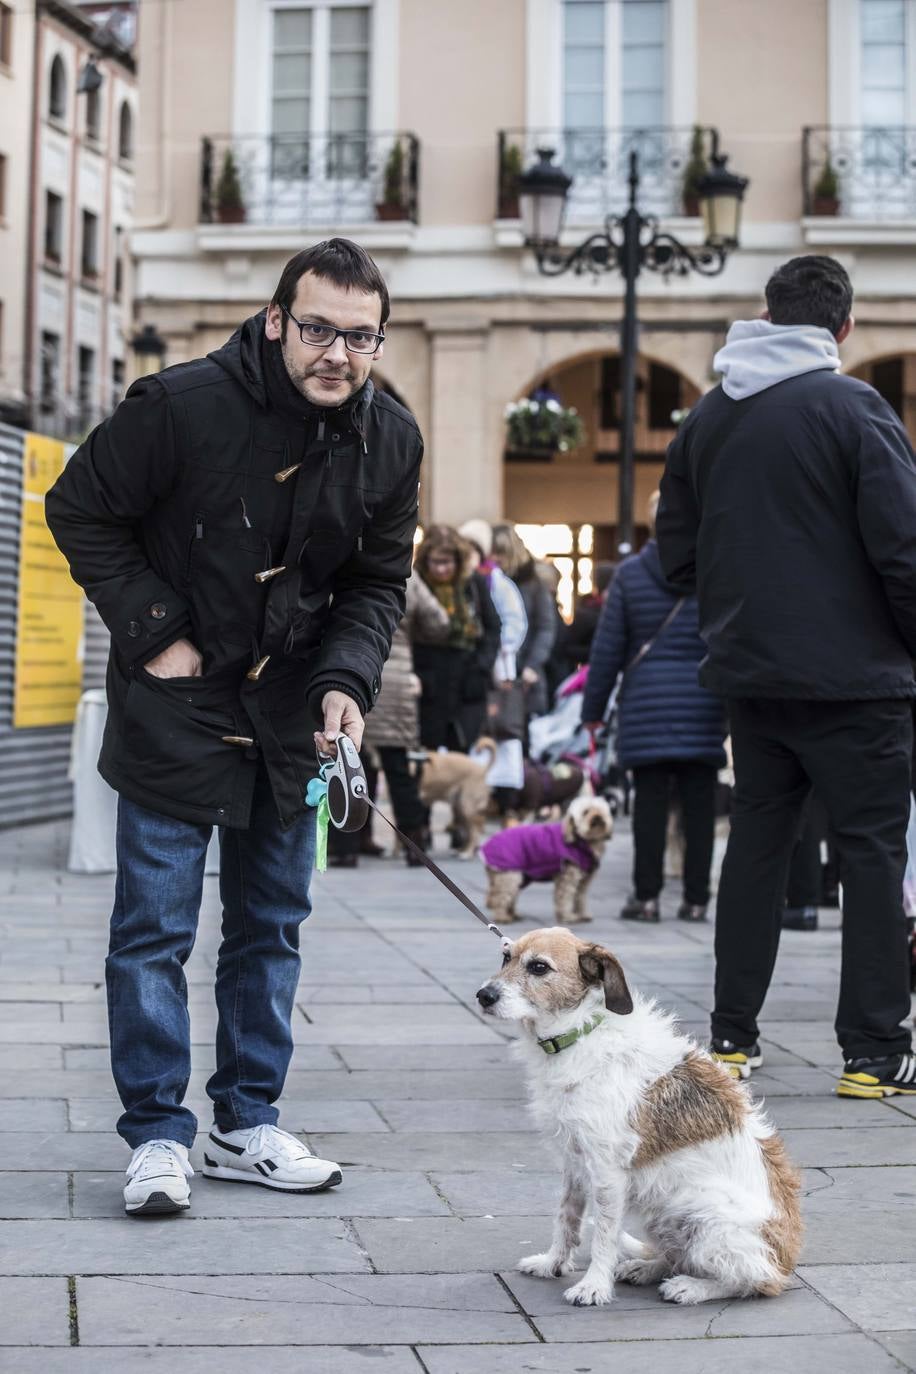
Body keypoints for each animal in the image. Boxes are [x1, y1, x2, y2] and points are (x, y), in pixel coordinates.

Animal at [477, 928, 796, 1302]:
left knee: (753, 1279)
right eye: (506, 957)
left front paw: (593, 1286)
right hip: (662, 1211)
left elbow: (604, 1235)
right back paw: (645, 1268)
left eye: (539, 967)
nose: (483, 996)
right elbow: (566, 1218)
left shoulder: (607, 1173)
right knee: (678, 1256)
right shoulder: (574, 1160)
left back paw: (693, 1287)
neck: (581, 1031)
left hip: (704, 1211)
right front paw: (552, 1263)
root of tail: (786, 1259)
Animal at [480, 796, 615, 923]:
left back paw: (512, 914)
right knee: (500, 897)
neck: (582, 841)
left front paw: (583, 914)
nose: (597, 817)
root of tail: (486, 845)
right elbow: (565, 898)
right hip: (510, 876)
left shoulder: (584, 881)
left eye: (601, 810)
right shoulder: (567, 877)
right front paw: (568, 916)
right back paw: (502, 916)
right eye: (586, 812)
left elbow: (580, 897)